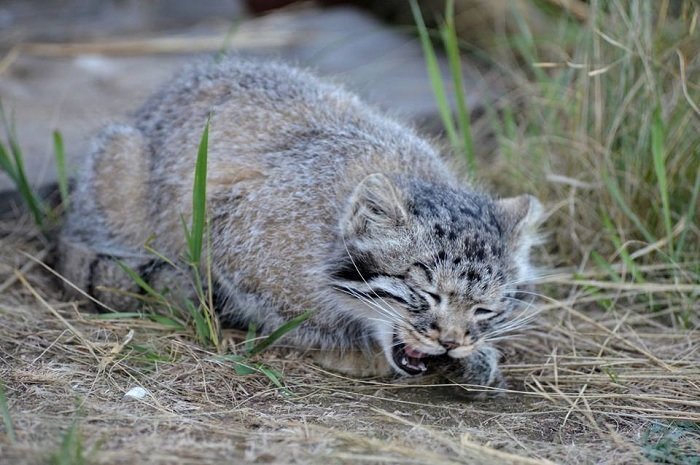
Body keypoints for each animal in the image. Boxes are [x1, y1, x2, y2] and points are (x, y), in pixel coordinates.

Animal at [57, 58, 544, 392]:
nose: (451, 342)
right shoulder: (235, 236)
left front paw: (478, 356)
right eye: (426, 295)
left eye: (484, 310)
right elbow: (292, 313)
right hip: (120, 163)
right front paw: (350, 349)